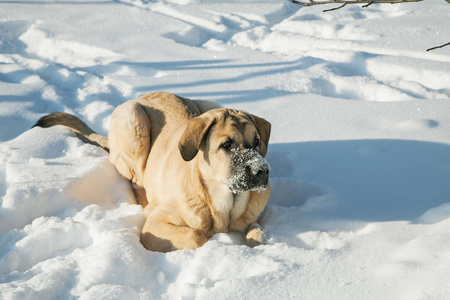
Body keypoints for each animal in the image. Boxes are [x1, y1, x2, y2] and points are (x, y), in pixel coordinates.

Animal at [35, 92, 270, 252]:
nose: (262, 171)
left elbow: (257, 231)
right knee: (137, 180)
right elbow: (197, 237)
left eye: (257, 142)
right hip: (133, 123)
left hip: (209, 103)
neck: (223, 205)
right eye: (226, 145)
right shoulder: (155, 226)